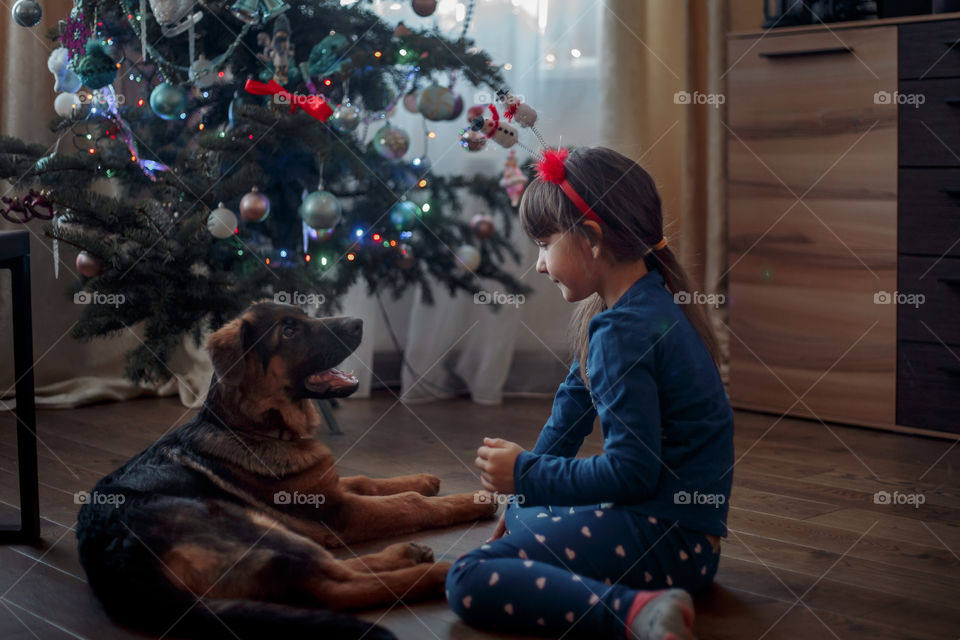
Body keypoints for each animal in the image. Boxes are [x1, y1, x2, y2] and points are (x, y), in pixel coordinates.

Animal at [76, 302, 496, 640]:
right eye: (289, 331)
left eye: (305, 315)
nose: (358, 322)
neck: (258, 427)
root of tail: (114, 562)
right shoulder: (342, 513)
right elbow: (409, 504)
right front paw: (470, 499)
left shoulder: (329, 487)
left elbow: (367, 481)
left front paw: (423, 479)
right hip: (254, 526)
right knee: (335, 586)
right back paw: (443, 574)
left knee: (328, 575)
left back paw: (409, 554)